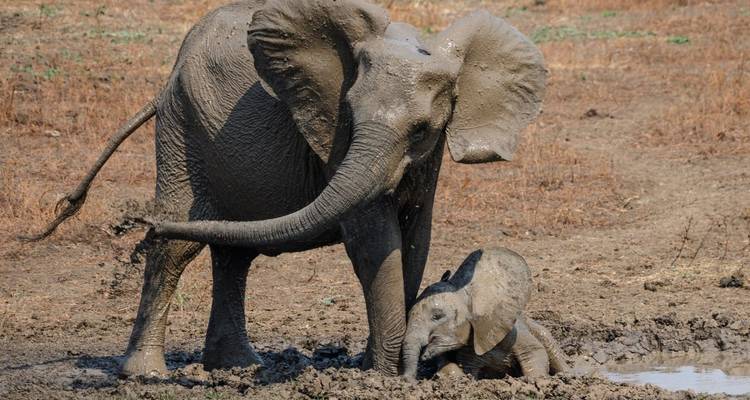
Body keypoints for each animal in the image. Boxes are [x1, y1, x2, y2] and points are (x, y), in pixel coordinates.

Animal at [26, 0, 546, 377]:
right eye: (349, 114)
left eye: (421, 130)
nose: (131, 221)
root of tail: (167, 78)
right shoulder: (333, 135)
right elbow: (375, 241)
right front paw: (381, 375)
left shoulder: (429, 158)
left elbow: (415, 240)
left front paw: (381, 366)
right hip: (181, 127)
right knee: (177, 248)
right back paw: (147, 374)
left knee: (232, 250)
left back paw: (235, 367)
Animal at [402, 248, 569, 379]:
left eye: (437, 316)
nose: (407, 380)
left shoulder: (503, 329)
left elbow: (533, 351)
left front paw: (536, 382)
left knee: (546, 339)